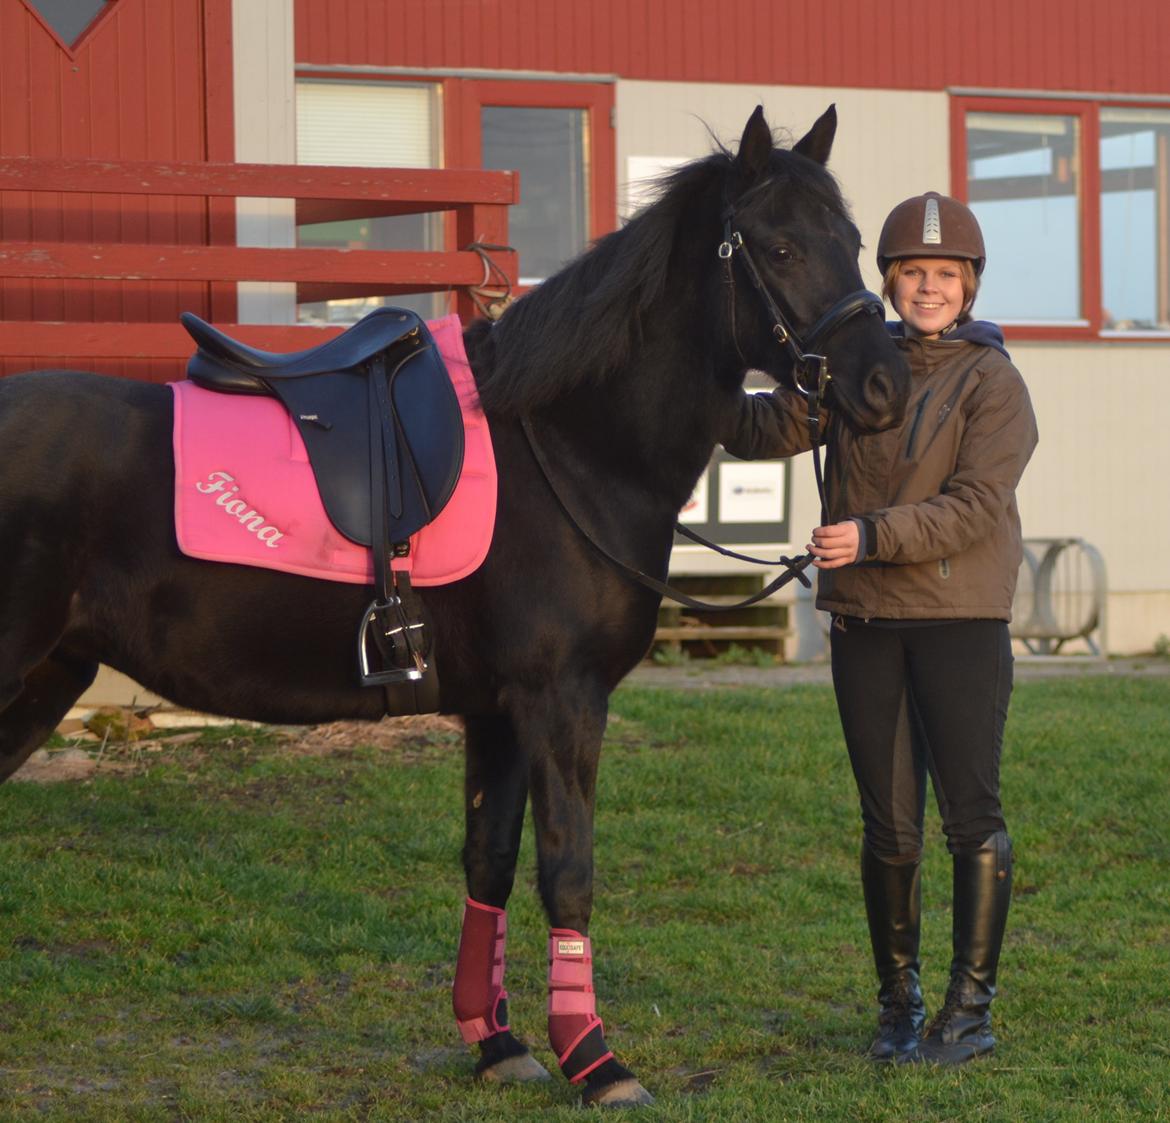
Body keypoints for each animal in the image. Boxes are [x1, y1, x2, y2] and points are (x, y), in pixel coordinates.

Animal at [0, 106, 909, 1107]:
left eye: (853, 242)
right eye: (779, 246)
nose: (884, 387)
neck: (565, 447)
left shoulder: (497, 710)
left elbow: (491, 861)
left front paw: (497, 1039)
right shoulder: (561, 700)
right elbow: (568, 867)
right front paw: (595, 1057)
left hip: (47, 678)